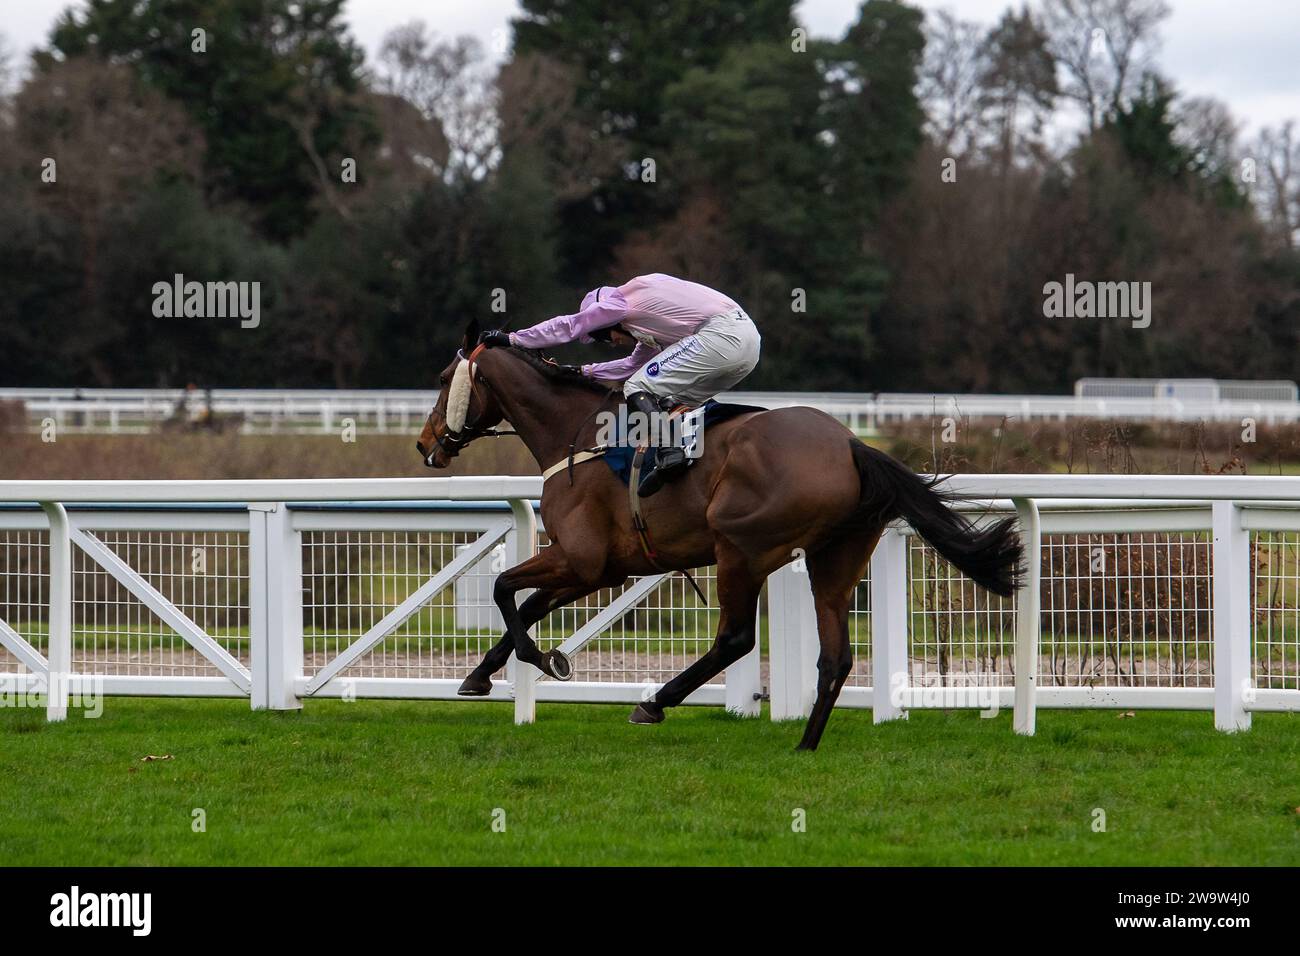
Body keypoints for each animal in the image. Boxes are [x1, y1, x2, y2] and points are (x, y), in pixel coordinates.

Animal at [418, 317, 1024, 749]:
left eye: (445, 380)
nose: (426, 445)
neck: (577, 435)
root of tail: (852, 445)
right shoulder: (600, 566)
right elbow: (528, 602)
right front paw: (481, 675)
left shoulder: (583, 560)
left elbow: (506, 591)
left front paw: (542, 658)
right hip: (836, 559)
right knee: (836, 656)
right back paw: (805, 745)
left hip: (740, 549)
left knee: (735, 639)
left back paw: (655, 702)